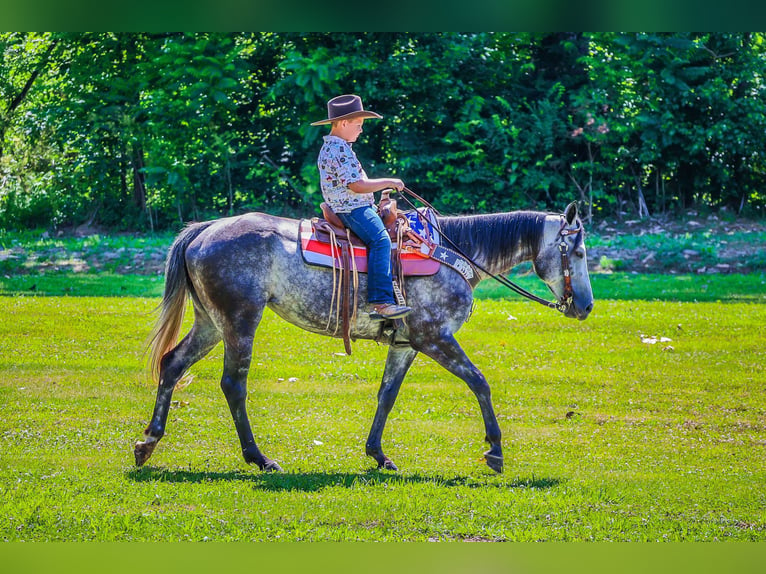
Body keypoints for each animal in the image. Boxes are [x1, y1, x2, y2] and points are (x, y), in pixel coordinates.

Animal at [136, 205, 592, 474]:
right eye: (580, 252)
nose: (585, 306)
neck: (455, 254)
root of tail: (205, 230)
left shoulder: (406, 345)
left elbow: (386, 395)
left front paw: (378, 453)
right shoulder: (435, 337)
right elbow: (480, 382)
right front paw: (494, 450)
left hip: (210, 322)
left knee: (172, 364)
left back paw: (147, 442)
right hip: (239, 320)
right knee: (233, 384)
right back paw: (259, 458)